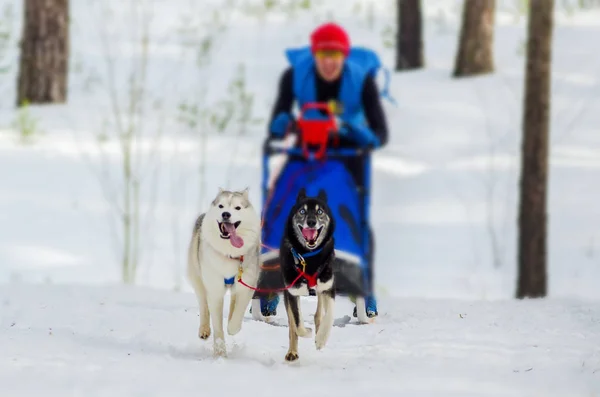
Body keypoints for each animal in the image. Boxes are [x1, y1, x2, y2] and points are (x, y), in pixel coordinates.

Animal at [186, 186, 262, 356]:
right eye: (221, 206)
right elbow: (217, 324)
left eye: (237, 208)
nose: (226, 214)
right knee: (203, 304)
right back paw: (204, 330)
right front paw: (220, 352)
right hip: (198, 278)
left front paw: (232, 328)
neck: (229, 254)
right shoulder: (214, 289)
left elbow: (238, 313)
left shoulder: (247, 286)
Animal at [278, 187, 336, 360]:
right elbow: (297, 324)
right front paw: (308, 332)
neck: (309, 258)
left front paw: (321, 339)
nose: (311, 222)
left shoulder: (328, 286)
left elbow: (329, 314)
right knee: (292, 326)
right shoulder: (292, 292)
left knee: (319, 314)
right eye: (302, 211)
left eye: (320, 211)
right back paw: (292, 351)